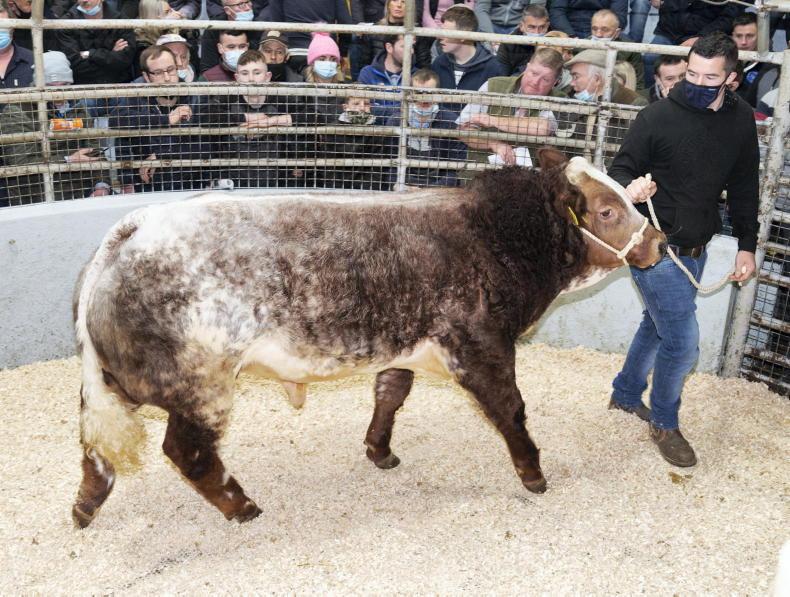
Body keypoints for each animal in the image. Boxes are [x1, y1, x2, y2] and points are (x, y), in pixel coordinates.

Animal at [71, 150, 666, 528]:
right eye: (607, 210)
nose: (659, 240)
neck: (494, 236)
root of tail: (131, 231)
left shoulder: (405, 345)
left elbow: (390, 394)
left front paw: (379, 451)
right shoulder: (480, 346)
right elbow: (510, 410)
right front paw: (533, 474)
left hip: (115, 381)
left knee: (95, 445)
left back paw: (85, 506)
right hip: (201, 387)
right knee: (187, 452)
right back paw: (241, 506)